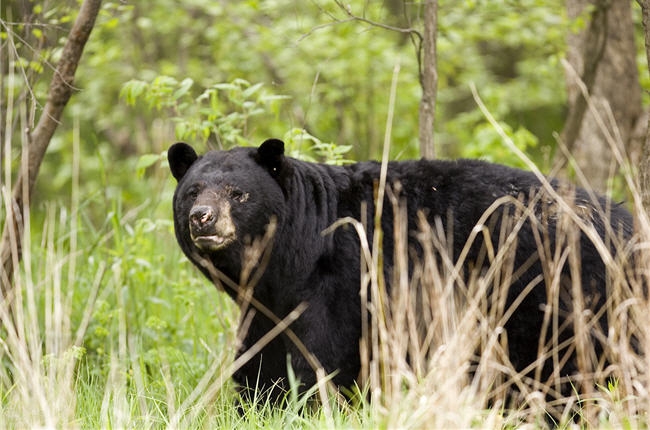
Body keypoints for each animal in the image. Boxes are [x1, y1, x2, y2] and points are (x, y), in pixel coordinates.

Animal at [167, 139, 632, 404]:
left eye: (238, 193)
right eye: (191, 191)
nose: (202, 218)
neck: (296, 251)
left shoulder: (343, 283)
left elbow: (321, 357)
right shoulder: (267, 303)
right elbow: (260, 356)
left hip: (549, 293)